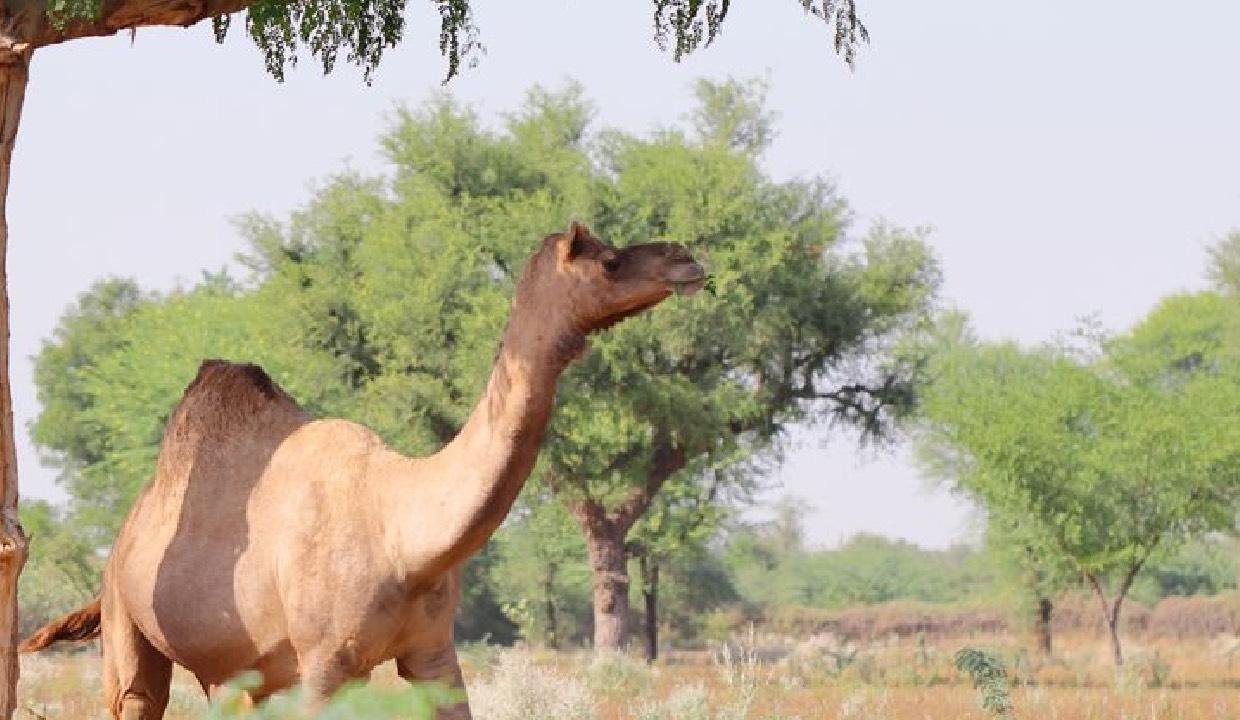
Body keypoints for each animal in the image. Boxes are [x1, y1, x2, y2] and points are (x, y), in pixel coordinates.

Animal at [21, 222, 705, 719]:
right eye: (609, 260)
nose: (686, 259)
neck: (402, 532)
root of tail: (122, 536)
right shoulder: (326, 664)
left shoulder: (433, 651)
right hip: (126, 623)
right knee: (135, 695)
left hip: (243, 670)